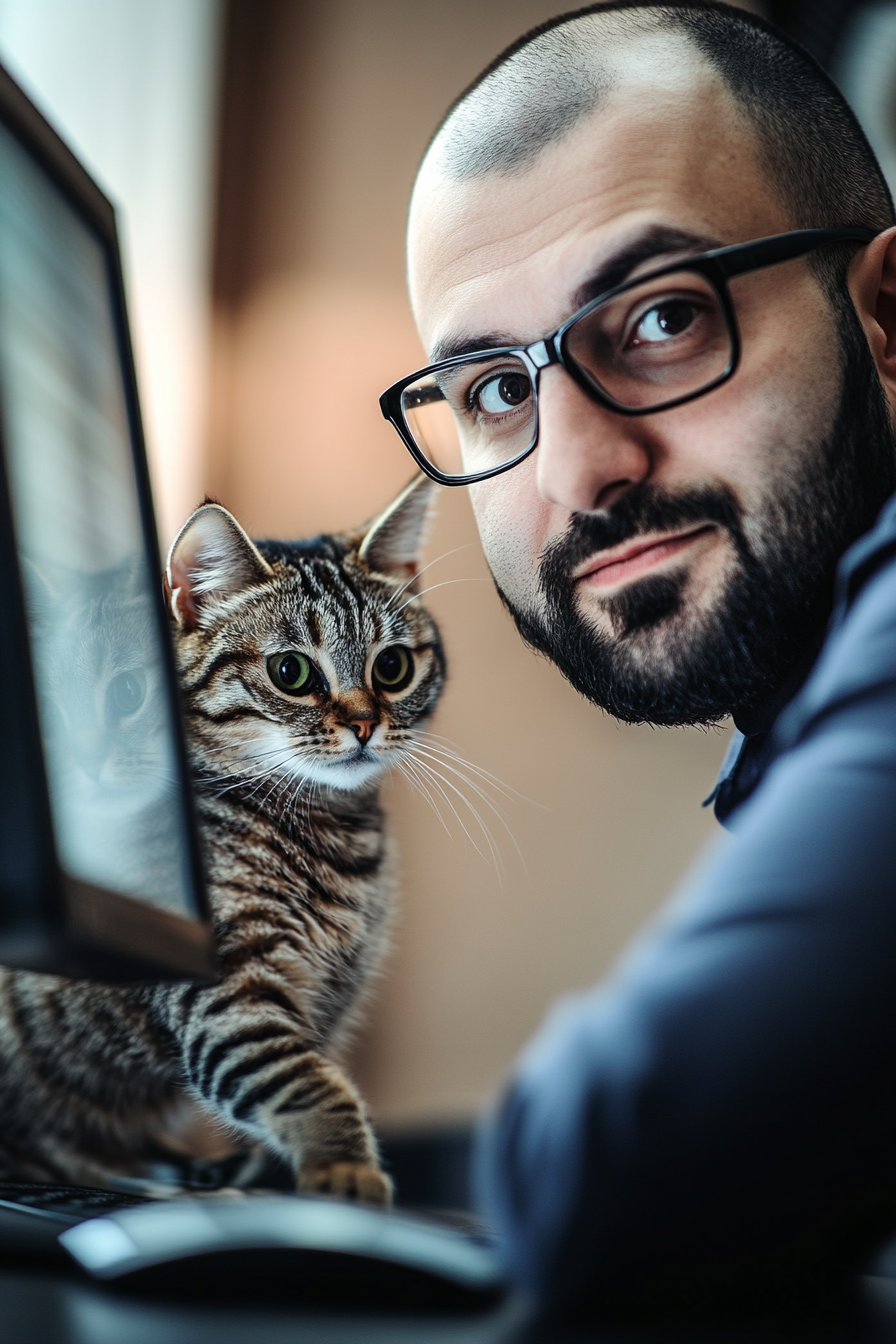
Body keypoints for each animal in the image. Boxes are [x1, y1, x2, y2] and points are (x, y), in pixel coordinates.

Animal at [0, 475, 445, 1209]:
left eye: (393, 666)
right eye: (292, 672)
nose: (363, 725)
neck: (330, 835)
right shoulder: (230, 989)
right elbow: (304, 1082)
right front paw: (343, 1170)